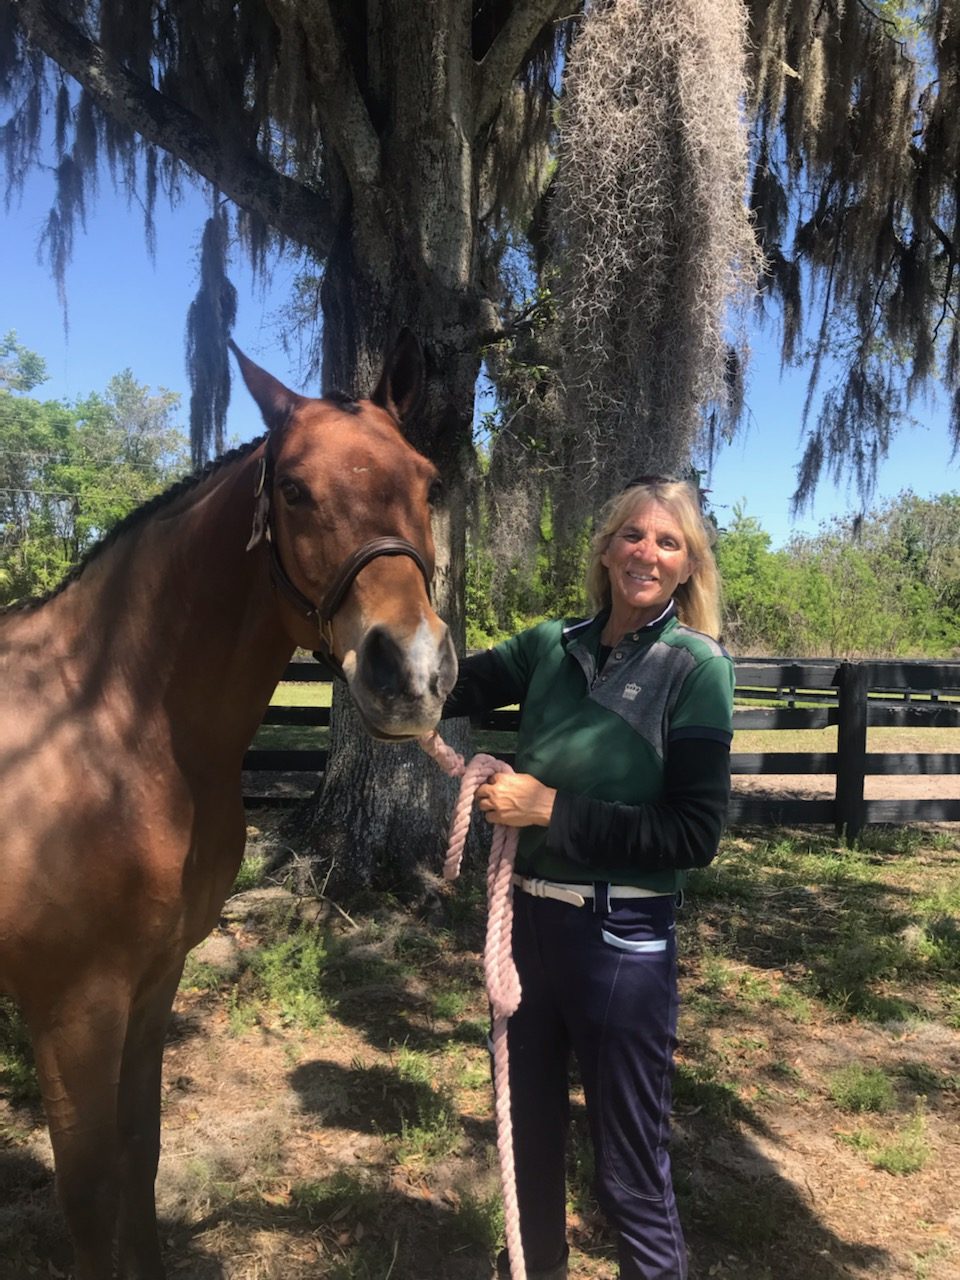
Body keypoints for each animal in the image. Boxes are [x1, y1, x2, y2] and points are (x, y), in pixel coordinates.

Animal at [0, 331, 458, 1279]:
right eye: (294, 490)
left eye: (430, 482)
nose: (411, 675)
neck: (110, 724)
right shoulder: (72, 1010)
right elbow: (89, 1196)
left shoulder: (154, 980)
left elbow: (141, 1154)